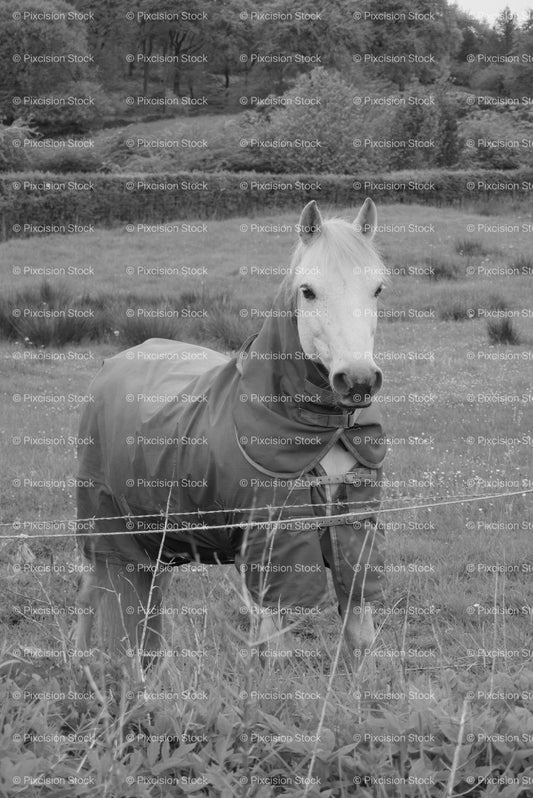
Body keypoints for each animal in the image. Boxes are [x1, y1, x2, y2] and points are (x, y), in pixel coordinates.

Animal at [75, 199, 388, 669]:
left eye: (378, 289)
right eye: (308, 291)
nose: (358, 380)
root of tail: (116, 361)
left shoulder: (353, 533)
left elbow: (359, 638)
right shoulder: (269, 549)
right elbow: (273, 651)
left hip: (157, 539)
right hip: (107, 533)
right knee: (94, 597)